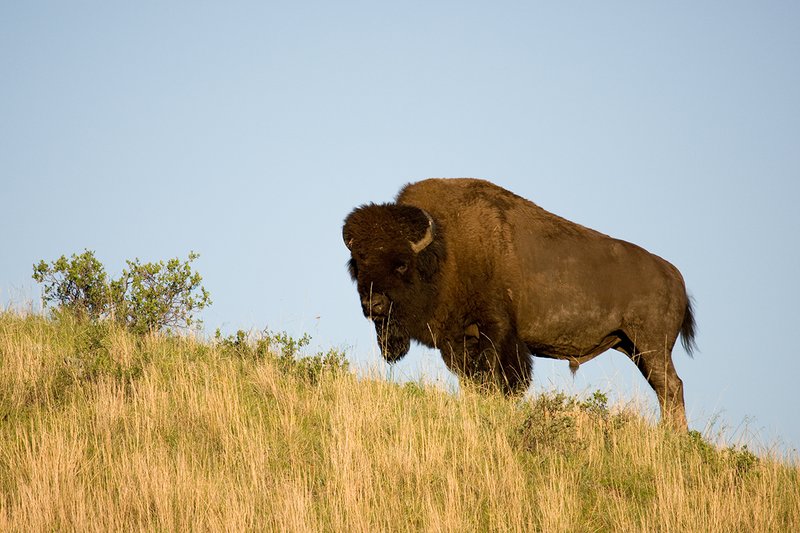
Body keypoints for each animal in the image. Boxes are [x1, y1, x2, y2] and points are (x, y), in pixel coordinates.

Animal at [342, 178, 696, 430]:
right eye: (358, 262)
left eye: (401, 263)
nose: (373, 304)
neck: (445, 250)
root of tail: (674, 276)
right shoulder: (457, 341)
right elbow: (472, 380)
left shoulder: (496, 331)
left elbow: (500, 378)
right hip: (632, 346)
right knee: (666, 388)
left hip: (651, 345)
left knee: (671, 386)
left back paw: (674, 436)